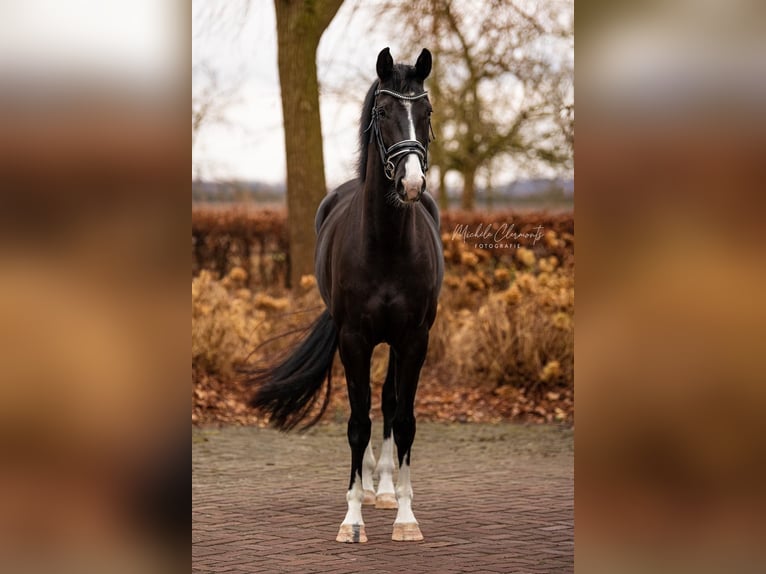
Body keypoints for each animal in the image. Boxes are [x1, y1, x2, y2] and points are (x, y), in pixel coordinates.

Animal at [250, 48, 444, 544]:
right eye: (383, 112)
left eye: (426, 113)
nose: (411, 184)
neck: (386, 244)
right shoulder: (353, 339)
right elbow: (357, 424)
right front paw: (353, 518)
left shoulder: (413, 340)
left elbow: (404, 420)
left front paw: (405, 516)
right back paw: (373, 490)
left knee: (390, 405)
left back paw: (387, 491)